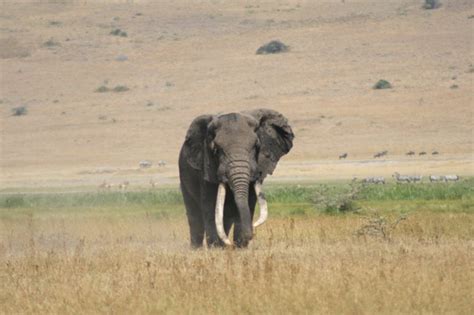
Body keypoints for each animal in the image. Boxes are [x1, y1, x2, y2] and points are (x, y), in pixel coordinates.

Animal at [180, 108, 294, 249]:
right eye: (216, 150)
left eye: (256, 146)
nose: (251, 233)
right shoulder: (206, 169)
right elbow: (211, 206)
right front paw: (216, 248)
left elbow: (249, 201)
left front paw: (240, 247)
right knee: (194, 215)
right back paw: (197, 249)